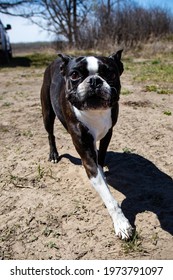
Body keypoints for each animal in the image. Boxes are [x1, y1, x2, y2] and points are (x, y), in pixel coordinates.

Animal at [41, 51, 133, 240]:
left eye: (110, 74)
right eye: (75, 75)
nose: (95, 80)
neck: (94, 112)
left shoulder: (108, 134)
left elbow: (101, 159)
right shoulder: (85, 152)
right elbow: (109, 198)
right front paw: (121, 223)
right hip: (47, 113)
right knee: (50, 134)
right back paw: (53, 154)